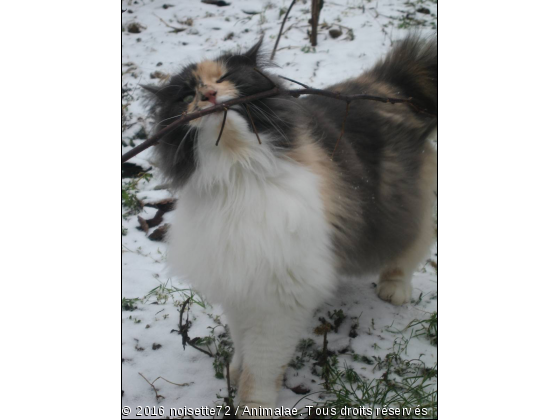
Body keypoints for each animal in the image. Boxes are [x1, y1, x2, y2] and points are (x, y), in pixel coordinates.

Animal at [141, 34, 438, 416]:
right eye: (186, 94)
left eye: (224, 78)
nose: (208, 95)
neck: (238, 172)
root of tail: (379, 84)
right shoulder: (241, 281)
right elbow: (242, 342)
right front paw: (235, 370)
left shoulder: (278, 299)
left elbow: (262, 367)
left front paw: (252, 404)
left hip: (405, 207)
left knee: (409, 250)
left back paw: (394, 289)